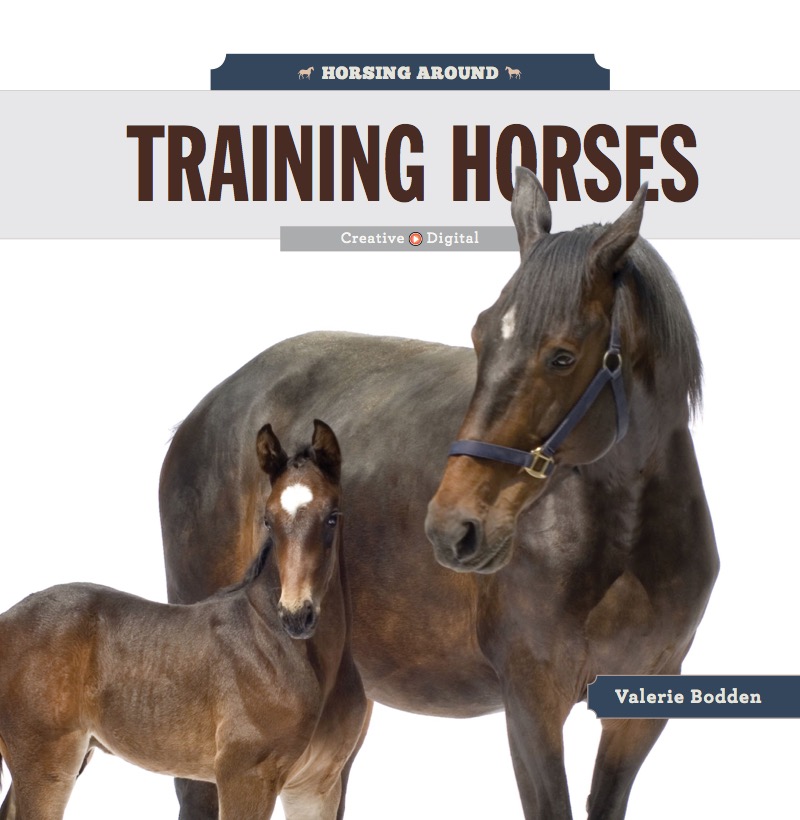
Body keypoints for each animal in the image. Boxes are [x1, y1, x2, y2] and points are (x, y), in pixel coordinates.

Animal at [0, 420, 368, 820]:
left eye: (332, 517)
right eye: (268, 520)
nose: (296, 615)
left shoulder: (317, 786)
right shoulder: (245, 776)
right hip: (47, 763)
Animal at [159, 167, 719, 819]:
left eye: (562, 356)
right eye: (480, 336)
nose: (453, 526)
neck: (621, 536)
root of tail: (204, 411)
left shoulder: (640, 709)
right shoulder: (532, 701)